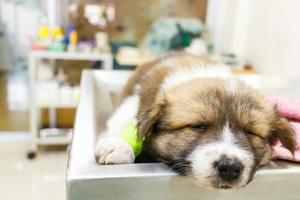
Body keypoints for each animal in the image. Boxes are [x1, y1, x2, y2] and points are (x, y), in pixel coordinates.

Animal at [94, 52, 296, 189]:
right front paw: (117, 146)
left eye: (250, 132)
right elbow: (124, 122)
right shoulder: (133, 103)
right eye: (199, 126)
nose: (230, 167)